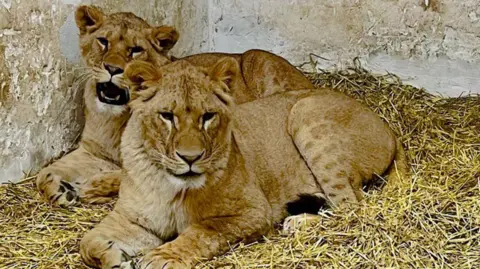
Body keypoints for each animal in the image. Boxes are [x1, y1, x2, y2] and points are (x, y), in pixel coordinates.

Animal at [35, 4, 314, 207]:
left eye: (135, 50)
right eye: (103, 41)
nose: (113, 69)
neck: (114, 119)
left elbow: (127, 175)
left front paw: (86, 187)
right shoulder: (92, 151)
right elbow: (44, 173)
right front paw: (60, 190)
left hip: (258, 59)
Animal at [78, 57, 404, 266]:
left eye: (208, 116)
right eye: (167, 116)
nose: (190, 158)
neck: (169, 183)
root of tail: (387, 125)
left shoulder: (254, 212)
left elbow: (202, 232)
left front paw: (163, 256)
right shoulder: (133, 217)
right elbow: (88, 242)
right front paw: (114, 257)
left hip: (305, 114)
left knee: (352, 207)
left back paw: (298, 221)